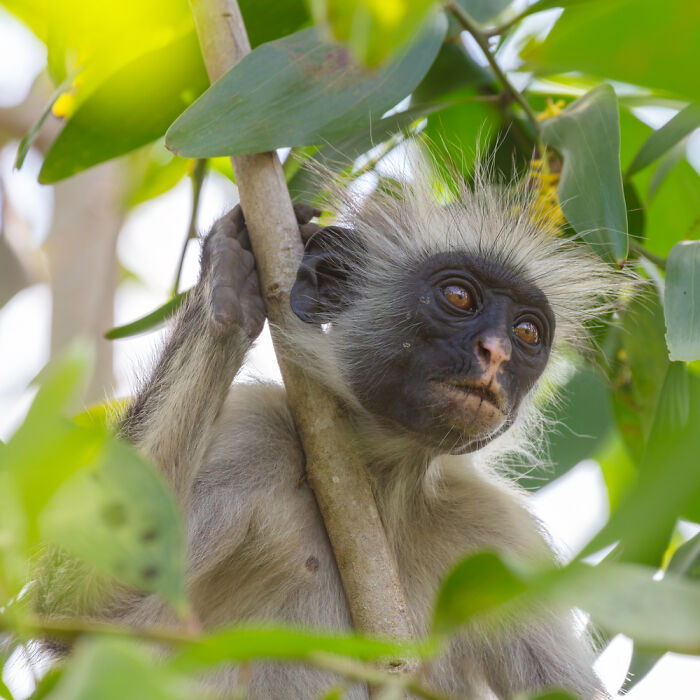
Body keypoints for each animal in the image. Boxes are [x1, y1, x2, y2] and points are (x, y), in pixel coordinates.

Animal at [38, 157, 625, 699]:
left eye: (526, 332)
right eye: (459, 297)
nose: (497, 352)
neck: (383, 481)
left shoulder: (501, 536)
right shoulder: (256, 433)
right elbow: (82, 603)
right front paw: (227, 285)